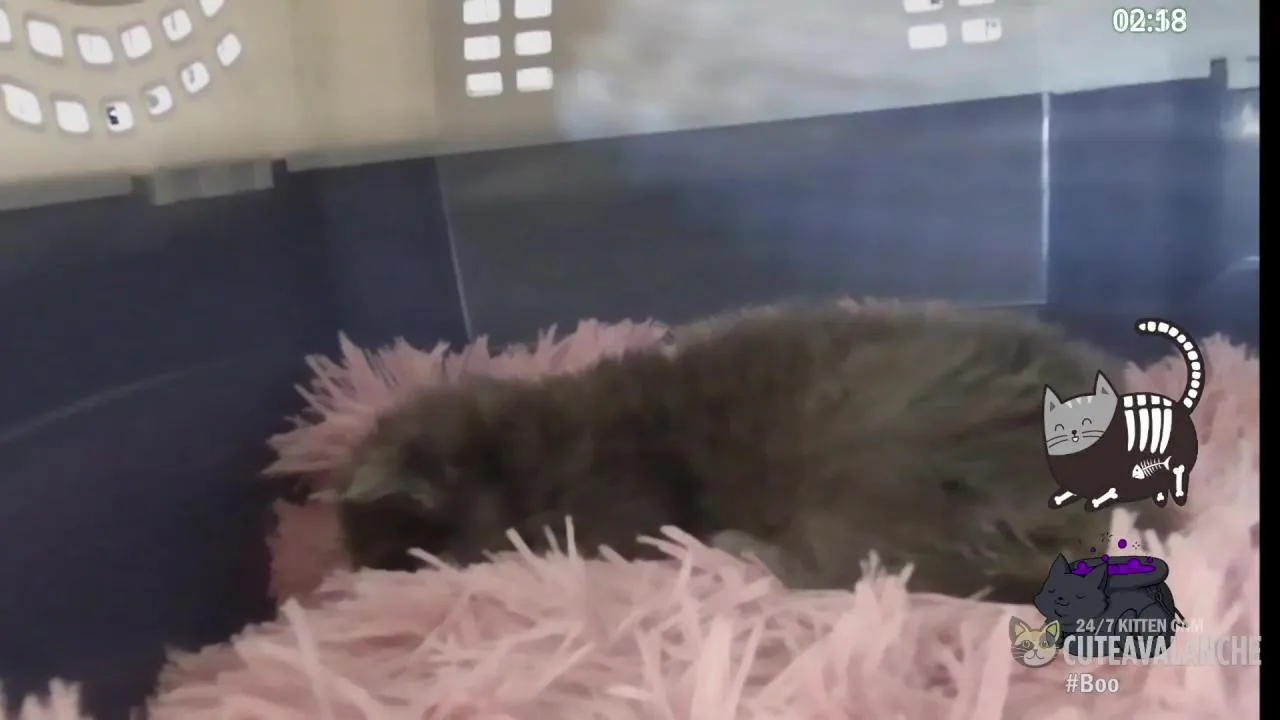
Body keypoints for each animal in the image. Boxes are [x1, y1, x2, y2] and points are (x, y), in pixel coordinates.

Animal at [1044, 318, 1204, 512]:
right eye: (1058, 427)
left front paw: (1094, 503)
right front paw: (1060, 499)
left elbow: (1108, 493)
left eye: (1087, 422)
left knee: (1177, 472)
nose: (1074, 432)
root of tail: (1180, 405)